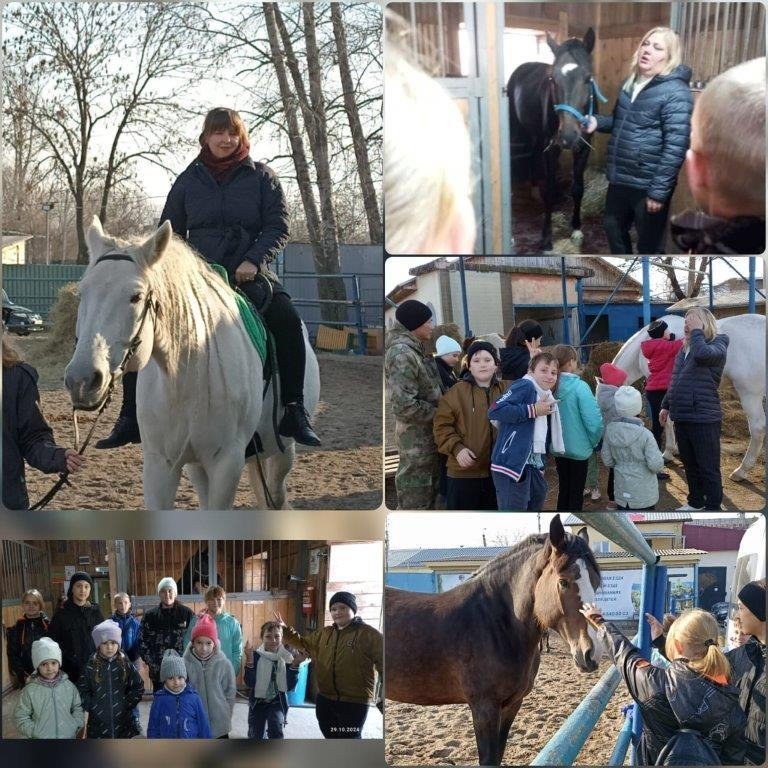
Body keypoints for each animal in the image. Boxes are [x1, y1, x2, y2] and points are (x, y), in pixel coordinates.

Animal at [63, 218, 320, 510]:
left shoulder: (226, 464)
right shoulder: (161, 465)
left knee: (275, 496)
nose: (81, 380)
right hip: (197, 465)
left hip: (282, 451)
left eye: (136, 296)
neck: (187, 377)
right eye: (81, 293)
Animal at [388, 512, 604, 764]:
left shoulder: (511, 706)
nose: (592, 652)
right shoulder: (484, 709)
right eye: (563, 582)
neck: (496, 623)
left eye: (595, 583)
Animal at [508, 28, 604, 252]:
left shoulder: (583, 148)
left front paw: (576, 229)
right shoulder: (552, 149)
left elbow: (578, 188)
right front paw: (546, 238)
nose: (568, 136)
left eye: (588, 78)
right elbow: (550, 191)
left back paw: (535, 189)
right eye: (552, 79)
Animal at [616, 312, 764, 480]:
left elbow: (667, 419)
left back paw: (741, 471)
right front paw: (676, 449)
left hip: (749, 394)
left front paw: (668, 452)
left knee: (758, 428)